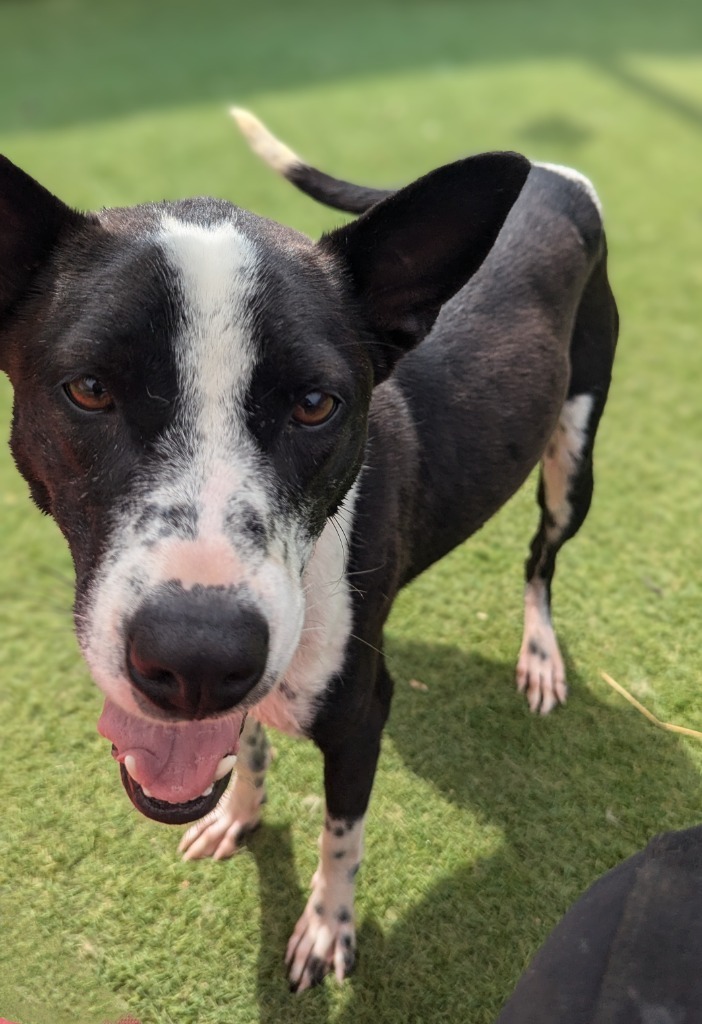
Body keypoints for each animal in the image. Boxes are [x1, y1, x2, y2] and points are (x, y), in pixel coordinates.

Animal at [0, 110, 613, 991]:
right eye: (88, 389)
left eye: (317, 404)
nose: (195, 659)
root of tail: (556, 176)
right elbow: (249, 741)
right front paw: (239, 814)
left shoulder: (360, 715)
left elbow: (342, 835)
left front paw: (327, 928)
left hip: (573, 458)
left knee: (541, 560)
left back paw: (538, 654)